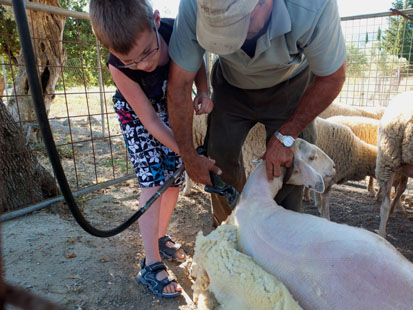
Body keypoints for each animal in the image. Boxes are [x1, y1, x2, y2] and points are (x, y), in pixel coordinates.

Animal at [374, 91, 412, 236]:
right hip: (388, 160)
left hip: (389, 159)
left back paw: (382, 233)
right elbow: (401, 189)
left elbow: (401, 189)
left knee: (385, 203)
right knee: (386, 202)